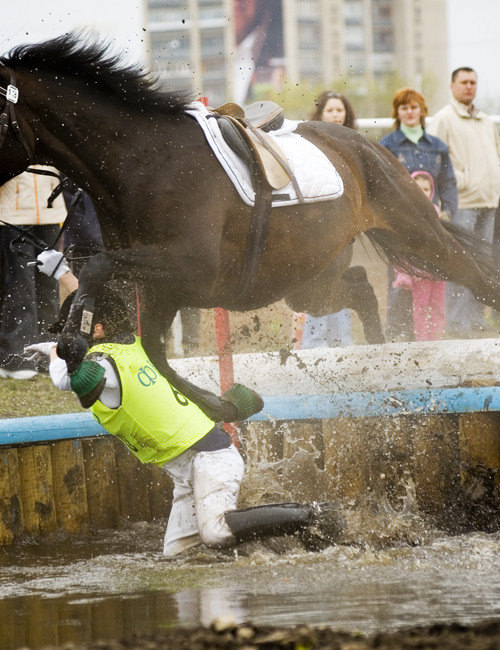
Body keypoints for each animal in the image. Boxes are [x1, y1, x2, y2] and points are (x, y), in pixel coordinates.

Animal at [0, 35, 498, 420]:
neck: (138, 163)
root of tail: (365, 144)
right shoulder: (161, 285)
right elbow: (152, 350)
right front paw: (226, 406)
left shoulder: (188, 268)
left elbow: (99, 270)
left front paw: (73, 338)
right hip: (307, 280)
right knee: (359, 287)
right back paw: (379, 353)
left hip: (416, 231)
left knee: (474, 274)